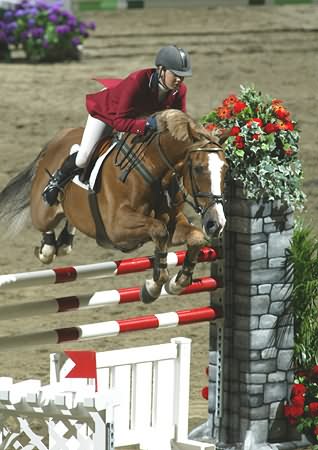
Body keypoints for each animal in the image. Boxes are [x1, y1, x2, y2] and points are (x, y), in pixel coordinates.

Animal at [0, 110, 229, 302]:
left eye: (226, 168)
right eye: (198, 168)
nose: (216, 224)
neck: (154, 170)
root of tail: (58, 138)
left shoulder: (174, 222)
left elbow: (195, 237)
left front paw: (176, 283)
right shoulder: (117, 228)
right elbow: (159, 230)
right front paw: (154, 286)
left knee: (68, 224)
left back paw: (65, 240)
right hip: (43, 211)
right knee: (45, 228)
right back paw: (47, 245)